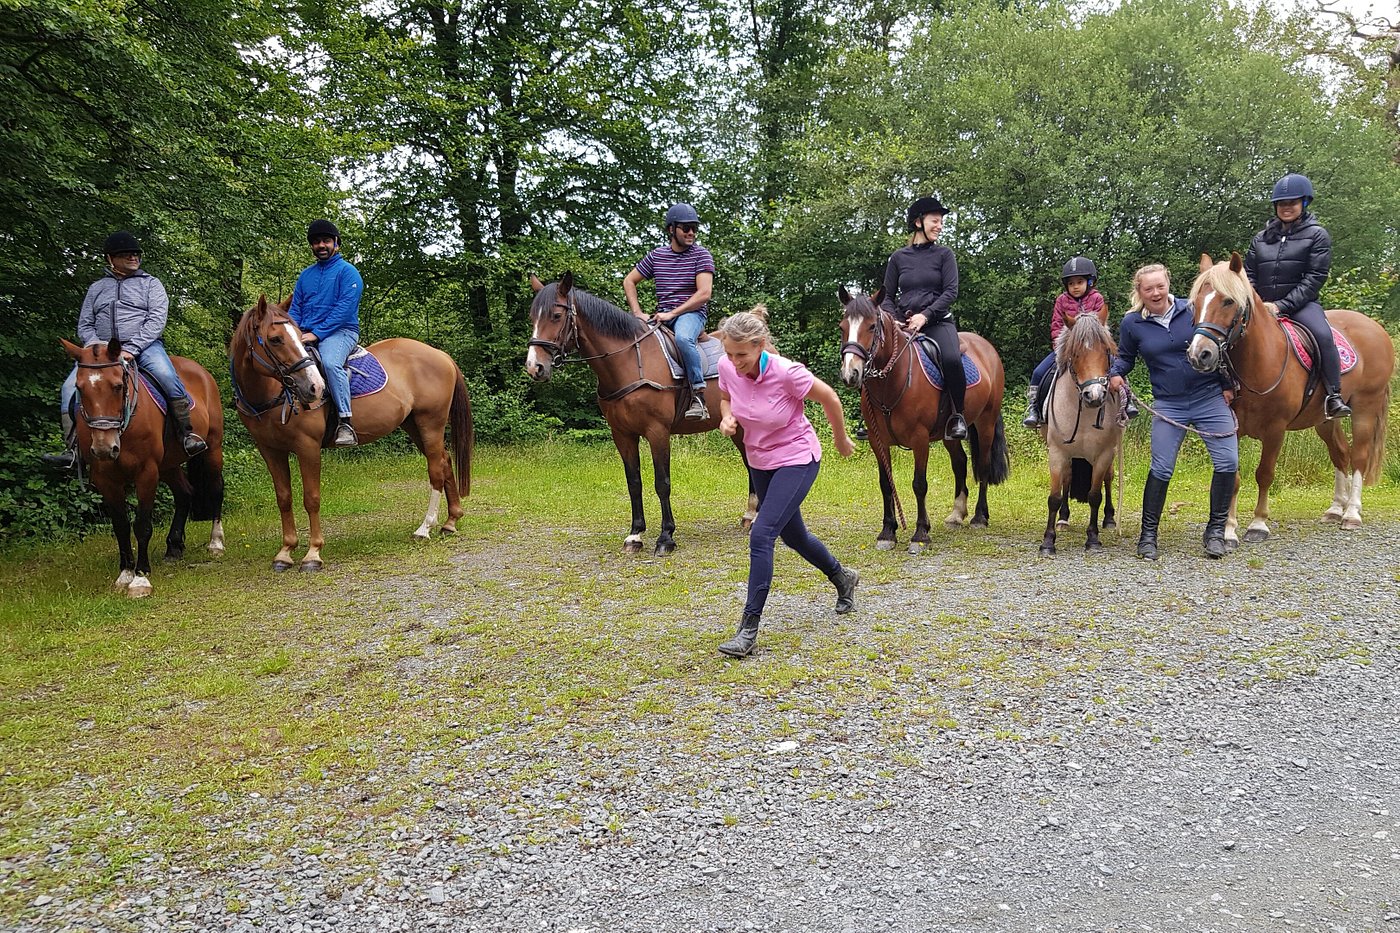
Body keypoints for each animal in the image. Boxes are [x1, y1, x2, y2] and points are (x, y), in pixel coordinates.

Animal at [62, 336, 224, 596]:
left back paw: (216, 542)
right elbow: (120, 526)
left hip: (212, 449)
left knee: (216, 490)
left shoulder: (147, 473)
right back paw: (174, 546)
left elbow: (142, 525)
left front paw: (140, 577)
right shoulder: (106, 480)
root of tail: (201, 371)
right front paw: (125, 573)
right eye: (79, 388)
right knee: (184, 494)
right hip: (168, 466)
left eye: (118, 386)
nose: (104, 448)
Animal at [226, 294, 473, 571]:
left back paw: (425, 527)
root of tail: (440, 355)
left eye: (298, 336)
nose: (314, 387)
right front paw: (286, 551)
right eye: (276, 339)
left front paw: (313, 553)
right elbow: (284, 498)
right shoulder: (270, 450)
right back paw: (451, 521)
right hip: (414, 425)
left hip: (430, 423)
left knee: (436, 470)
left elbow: (311, 498)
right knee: (445, 461)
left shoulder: (307, 447)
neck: (272, 393)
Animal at [834, 280, 1013, 549]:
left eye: (872, 326)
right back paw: (957, 513)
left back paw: (979, 517)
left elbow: (919, 484)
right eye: (843, 327)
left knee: (981, 466)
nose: (850, 373)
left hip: (986, 423)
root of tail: (987, 348)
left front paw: (920, 534)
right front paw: (887, 532)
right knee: (960, 463)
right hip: (950, 434)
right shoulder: (878, 442)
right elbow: (885, 484)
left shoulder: (919, 440)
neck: (893, 381)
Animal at [1041, 312, 1125, 551]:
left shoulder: (1103, 454)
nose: (1094, 395)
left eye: (1106, 351)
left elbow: (1095, 495)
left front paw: (1093, 538)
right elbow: (1054, 496)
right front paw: (1048, 542)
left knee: (1108, 478)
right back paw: (1063, 519)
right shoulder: (1057, 453)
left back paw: (1109, 519)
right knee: (1068, 478)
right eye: (1075, 353)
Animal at [1187, 250, 1394, 540]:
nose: (1200, 354)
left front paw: (1258, 524)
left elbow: (1264, 474)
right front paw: (1228, 529)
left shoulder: (1275, 429)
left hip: (1366, 407)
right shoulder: (1233, 429)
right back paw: (1335, 509)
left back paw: (1351, 513)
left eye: (1228, 301)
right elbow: (1234, 477)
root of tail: (1375, 328)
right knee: (1340, 453)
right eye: (1195, 303)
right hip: (1325, 419)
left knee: (1359, 457)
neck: (1260, 361)